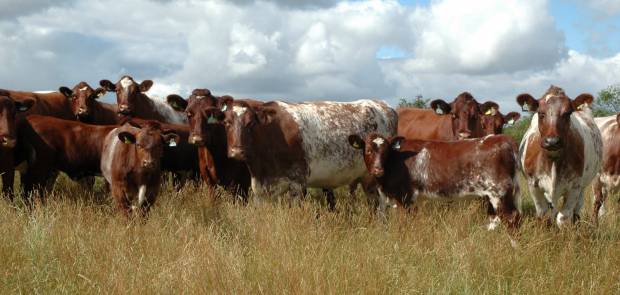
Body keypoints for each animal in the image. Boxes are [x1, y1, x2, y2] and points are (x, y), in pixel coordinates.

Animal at [346, 132, 520, 231]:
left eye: (386, 152)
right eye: (368, 150)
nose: (378, 169)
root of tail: (503, 138)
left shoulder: (404, 197)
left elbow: (404, 224)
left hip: (499, 191)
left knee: (511, 218)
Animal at [516, 84, 604, 228]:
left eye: (567, 113)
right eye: (541, 113)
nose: (552, 141)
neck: (552, 159)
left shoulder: (575, 186)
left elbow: (563, 217)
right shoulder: (533, 185)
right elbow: (543, 215)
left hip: (583, 185)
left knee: (577, 208)